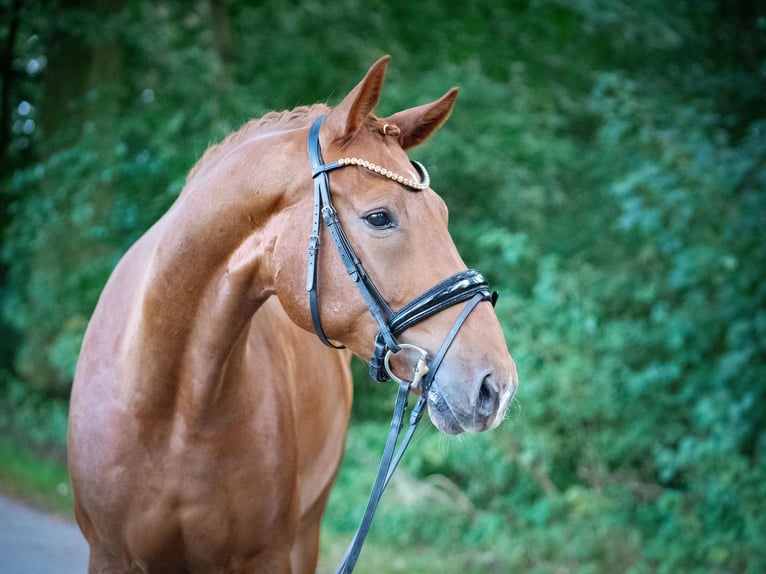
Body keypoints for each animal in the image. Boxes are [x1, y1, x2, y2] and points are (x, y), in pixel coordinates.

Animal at [69, 59, 520, 574]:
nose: (497, 386)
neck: (173, 410)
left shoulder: (268, 557)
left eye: (442, 213)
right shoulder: (110, 555)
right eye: (379, 217)